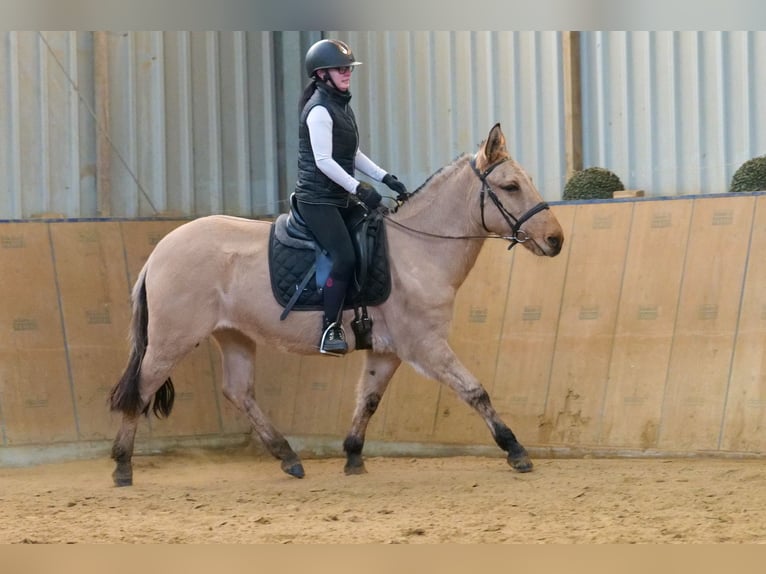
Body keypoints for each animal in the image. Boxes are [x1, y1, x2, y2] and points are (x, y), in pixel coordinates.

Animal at [108, 124, 564, 488]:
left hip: (234, 334)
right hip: (172, 340)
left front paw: (353, 455)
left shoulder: (387, 351)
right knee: (142, 388)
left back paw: (288, 457)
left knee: (238, 391)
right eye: (510, 187)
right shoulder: (426, 345)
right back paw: (122, 466)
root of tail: (159, 252)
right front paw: (515, 449)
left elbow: (368, 399)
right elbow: (474, 391)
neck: (417, 249)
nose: (556, 240)